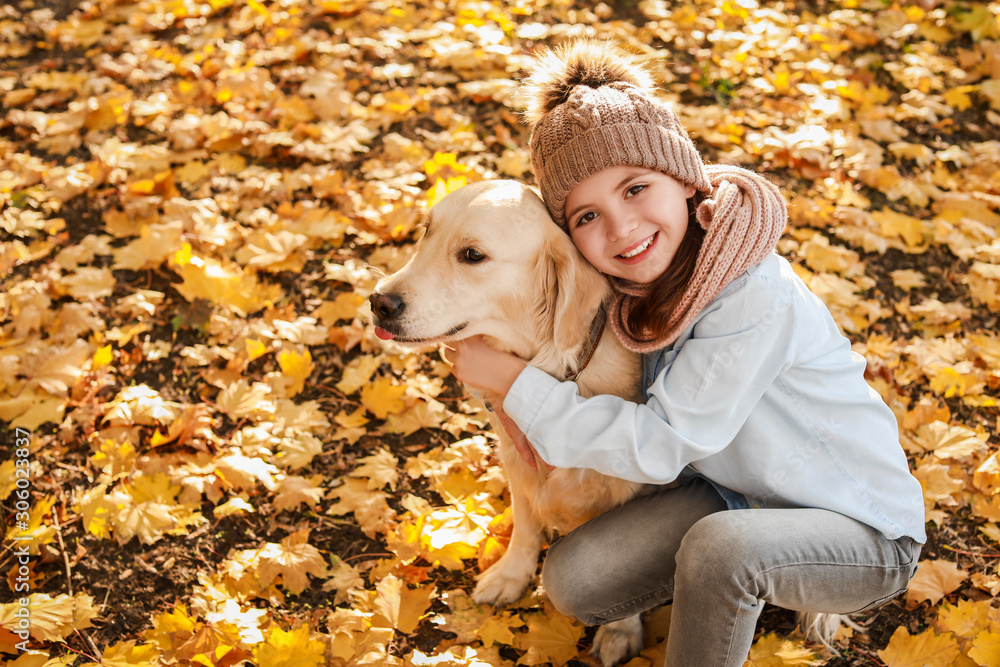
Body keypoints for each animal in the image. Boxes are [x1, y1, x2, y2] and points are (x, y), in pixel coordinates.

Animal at [368, 180, 648, 664]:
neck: (557, 375)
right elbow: (525, 520)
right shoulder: (515, 457)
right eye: (426, 231)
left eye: (472, 255)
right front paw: (511, 575)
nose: (379, 301)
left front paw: (620, 630)